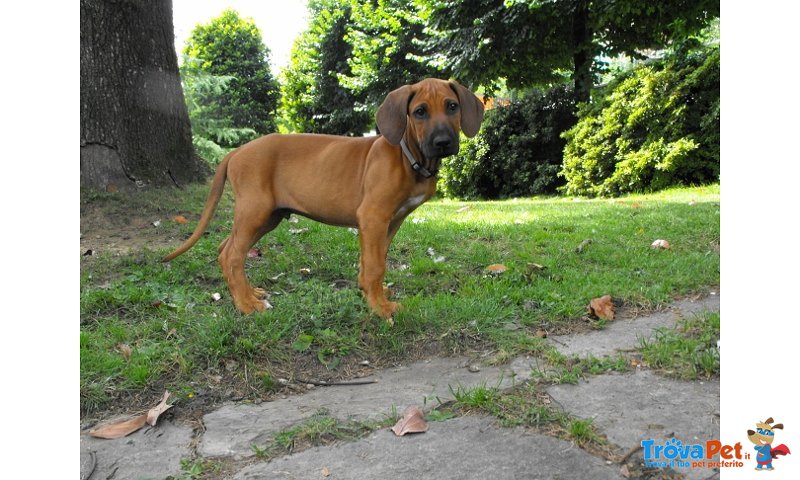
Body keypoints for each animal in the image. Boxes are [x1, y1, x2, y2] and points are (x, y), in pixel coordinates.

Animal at [162, 79, 482, 318]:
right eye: (420, 112)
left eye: (452, 106)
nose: (443, 142)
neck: (408, 156)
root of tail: (236, 151)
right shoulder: (373, 216)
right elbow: (376, 265)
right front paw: (380, 308)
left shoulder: (390, 222)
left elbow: (374, 259)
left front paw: (370, 292)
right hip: (255, 210)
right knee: (231, 255)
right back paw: (247, 305)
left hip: (267, 217)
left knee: (225, 249)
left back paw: (248, 293)